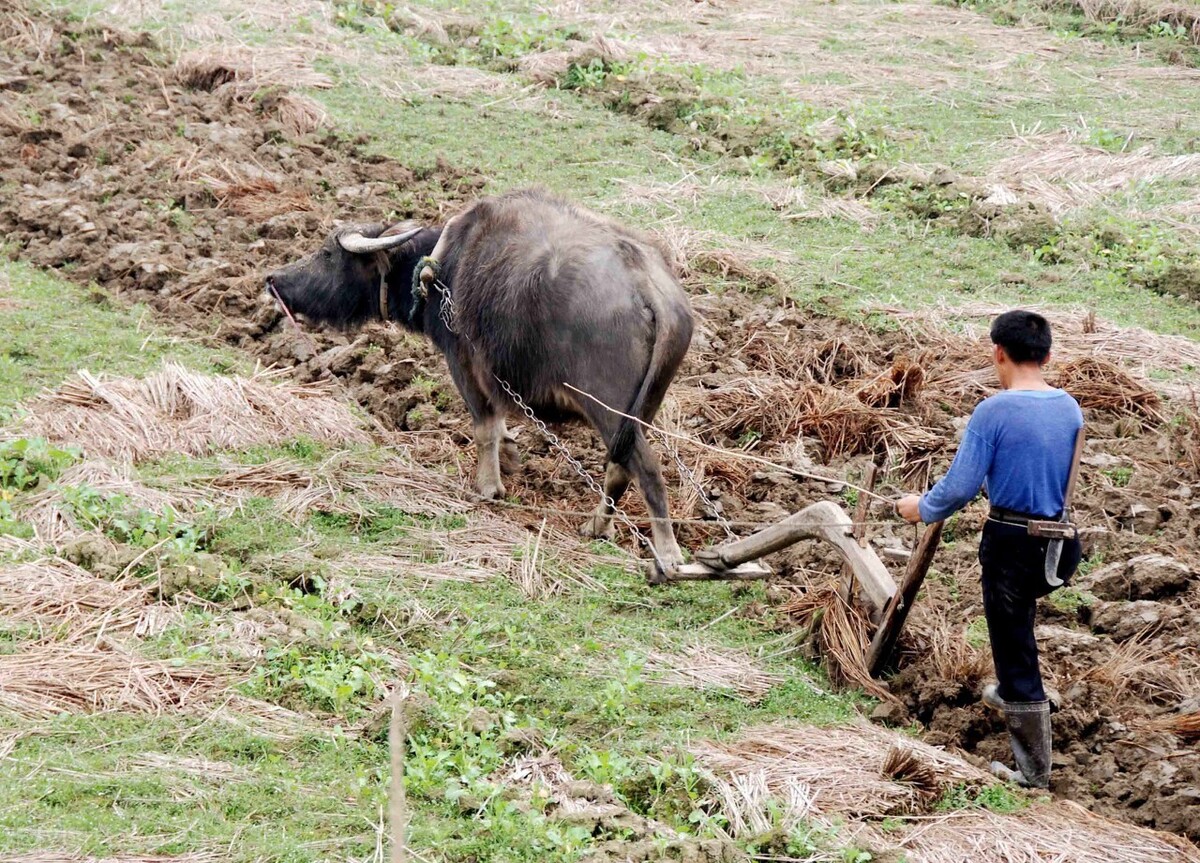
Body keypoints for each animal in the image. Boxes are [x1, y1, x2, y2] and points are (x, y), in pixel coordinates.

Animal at [262, 189, 696, 580]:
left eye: (328, 254)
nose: (274, 279)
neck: (440, 268)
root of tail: (650, 288)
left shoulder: (464, 363)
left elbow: (484, 426)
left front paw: (488, 486)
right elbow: (500, 425)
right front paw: (510, 454)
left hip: (608, 408)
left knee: (644, 469)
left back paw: (667, 554)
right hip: (643, 409)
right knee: (620, 468)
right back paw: (597, 526)